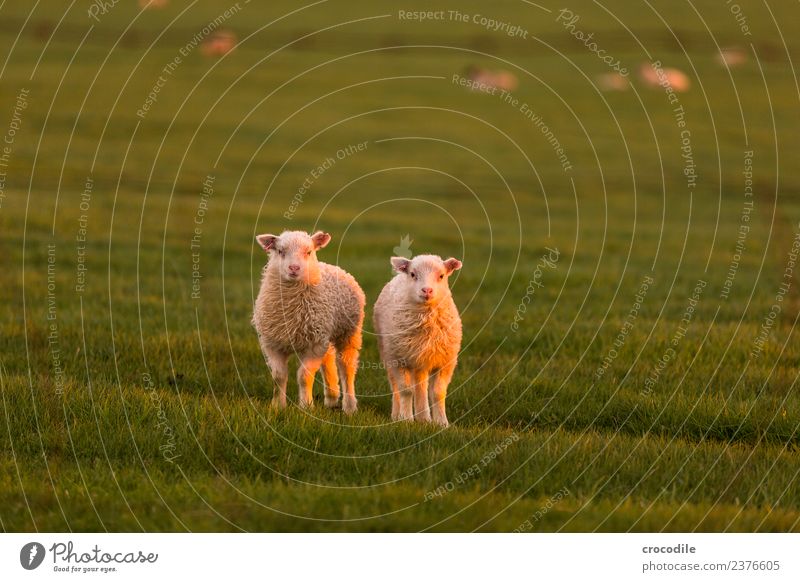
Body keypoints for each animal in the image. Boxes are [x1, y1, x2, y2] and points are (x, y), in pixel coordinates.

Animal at [252, 229, 364, 416]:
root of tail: (330, 266)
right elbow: (278, 376)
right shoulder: (273, 344)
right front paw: (277, 406)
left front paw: (306, 406)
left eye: (309, 252)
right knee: (328, 360)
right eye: (280, 251)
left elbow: (304, 376)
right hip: (323, 331)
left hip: (347, 333)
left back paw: (349, 407)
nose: (294, 268)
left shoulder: (314, 346)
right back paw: (331, 397)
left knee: (346, 367)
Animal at [374, 253, 462, 426]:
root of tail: (398, 277)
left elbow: (437, 393)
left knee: (420, 386)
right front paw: (406, 420)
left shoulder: (445, 362)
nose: (427, 290)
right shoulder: (398, 359)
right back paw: (397, 414)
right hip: (388, 352)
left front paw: (441, 423)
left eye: (441, 276)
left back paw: (424, 419)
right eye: (413, 274)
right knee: (396, 386)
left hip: (420, 359)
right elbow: (406, 390)